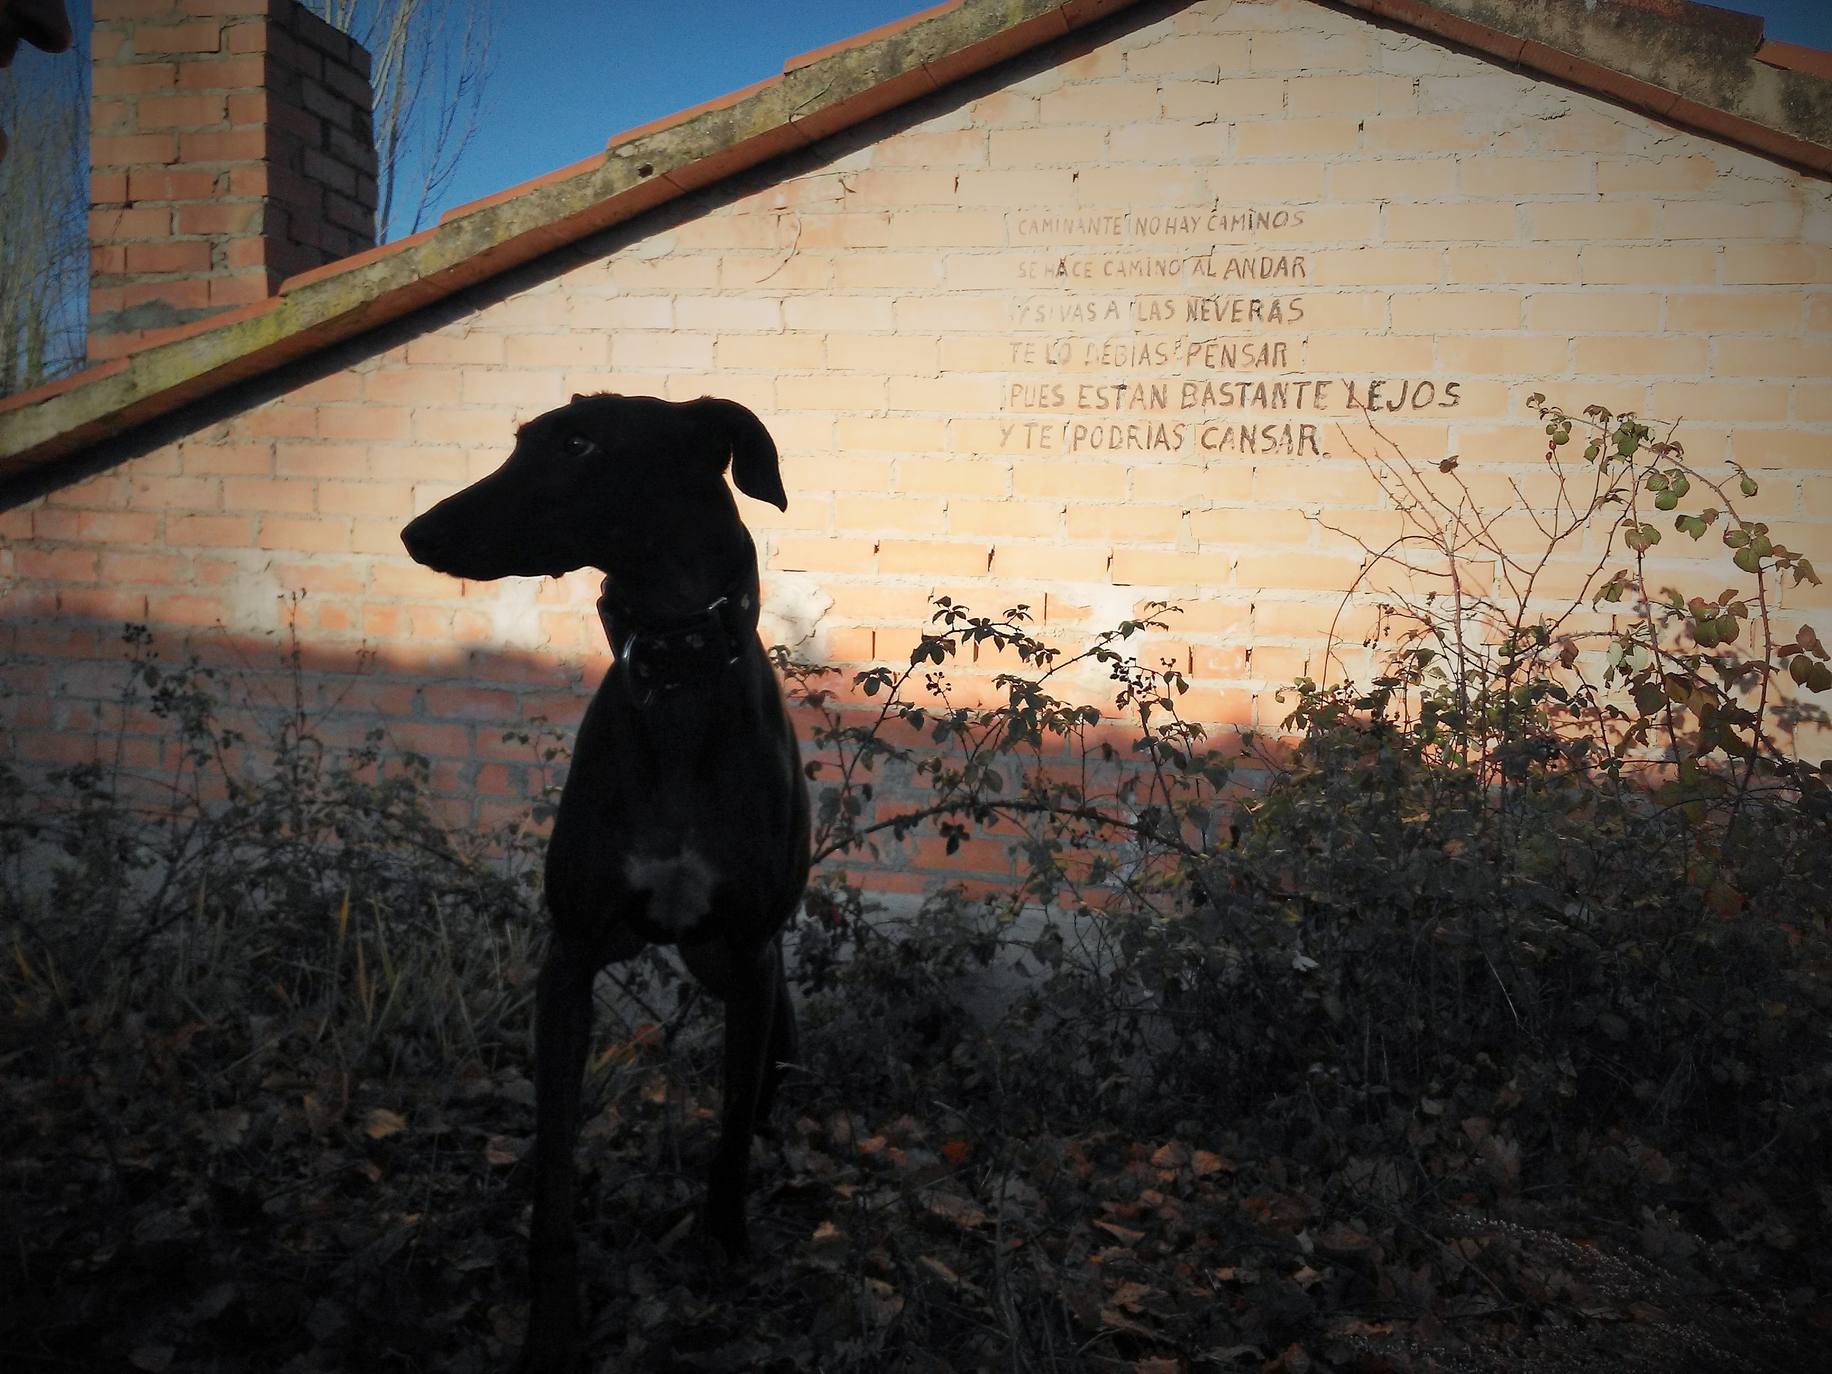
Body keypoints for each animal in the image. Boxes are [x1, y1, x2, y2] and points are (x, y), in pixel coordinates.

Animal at [404, 392, 813, 1370]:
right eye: (524, 441)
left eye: (583, 443)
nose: (416, 533)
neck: (675, 673)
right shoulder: (572, 957)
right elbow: (556, 1161)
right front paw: (553, 1325)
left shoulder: (751, 956)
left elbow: (729, 1135)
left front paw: (722, 1248)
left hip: (758, 994)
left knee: (759, 1100)